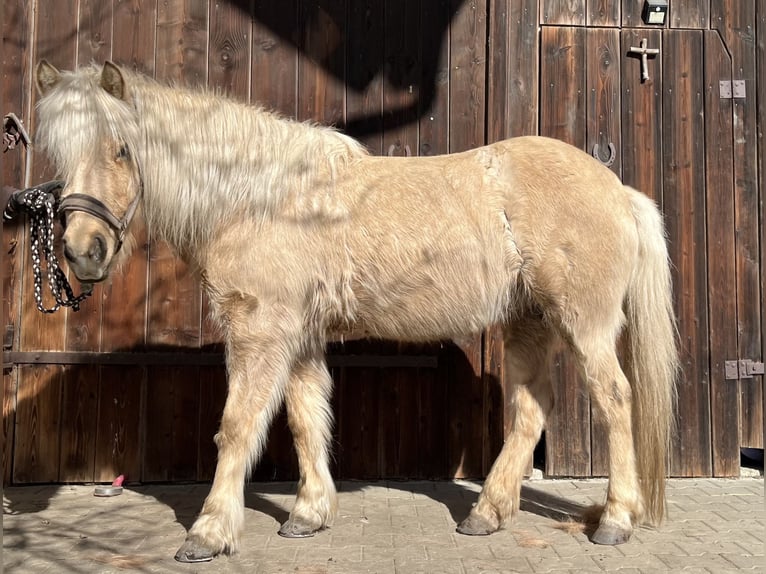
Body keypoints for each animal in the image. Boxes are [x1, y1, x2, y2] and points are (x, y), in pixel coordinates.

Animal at [34, 60, 678, 563]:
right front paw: (308, 513)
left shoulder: (260, 331)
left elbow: (238, 426)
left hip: (583, 324)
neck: (257, 196)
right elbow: (304, 418)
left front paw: (209, 532)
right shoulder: (297, 337)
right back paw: (487, 513)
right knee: (529, 409)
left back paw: (615, 520)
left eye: (121, 149)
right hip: (527, 323)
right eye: (59, 154)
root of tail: (619, 190)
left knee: (615, 400)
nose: (83, 251)